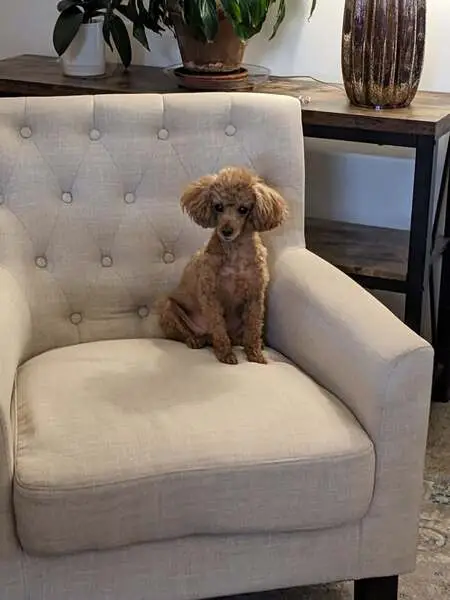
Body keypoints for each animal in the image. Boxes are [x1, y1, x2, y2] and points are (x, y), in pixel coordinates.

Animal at [159, 166, 288, 364]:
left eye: (243, 209)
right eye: (218, 207)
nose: (226, 231)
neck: (235, 252)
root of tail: (205, 335)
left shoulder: (255, 295)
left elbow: (254, 327)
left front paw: (255, 355)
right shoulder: (210, 295)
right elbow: (219, 328)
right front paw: (226, 354)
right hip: (168, 309)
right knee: (185, 334)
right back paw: (195, 340)